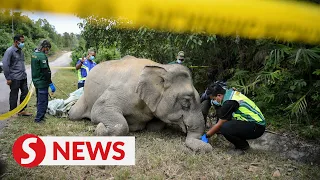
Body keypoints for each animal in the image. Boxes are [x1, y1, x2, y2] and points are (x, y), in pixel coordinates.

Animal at [68, 54, 212, 152]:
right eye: (186, 102)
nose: (208, 145)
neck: (161, 67)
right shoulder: (125, 89)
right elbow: (100, 108)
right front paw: (99, 128)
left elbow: (156, 126)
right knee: (73, 114)